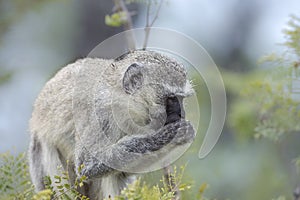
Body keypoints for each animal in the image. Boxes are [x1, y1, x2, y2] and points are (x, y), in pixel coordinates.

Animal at [28, 49, 195, 198]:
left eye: (181, 99)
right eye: (172, 99)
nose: (182, 114)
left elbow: (121, 172)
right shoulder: (99, 112)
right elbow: (86, 165)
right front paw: (169, 134)